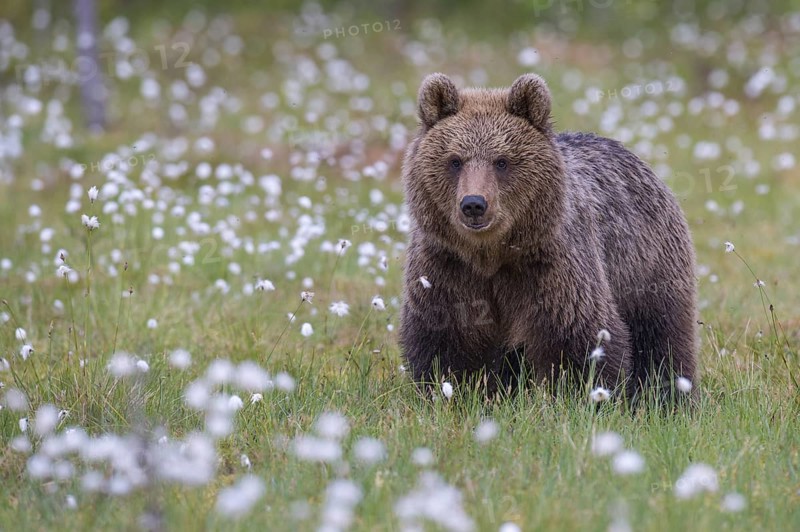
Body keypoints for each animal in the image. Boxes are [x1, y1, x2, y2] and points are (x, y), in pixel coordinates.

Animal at [399, 72, 698, 402]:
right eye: (455, 160)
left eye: (502, 161)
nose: (474, 204)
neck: (492, 254)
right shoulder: (447, 267)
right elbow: (445, 339)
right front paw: (451, 393)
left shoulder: (552, 265)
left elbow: (576, 337)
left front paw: (579, 396)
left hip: (646, 263)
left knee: (661, 334)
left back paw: (671, 395)